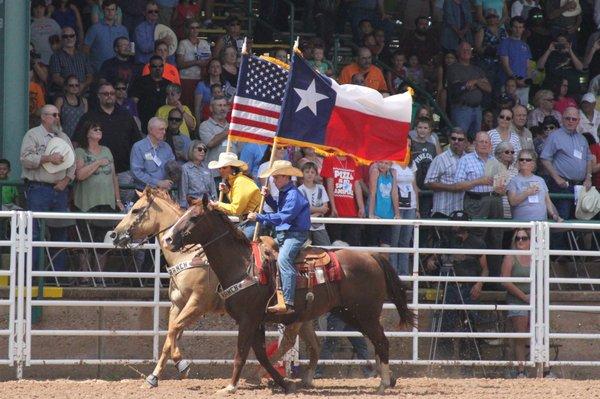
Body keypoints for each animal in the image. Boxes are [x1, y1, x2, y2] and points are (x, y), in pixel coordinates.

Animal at [110, 189, 322, 390]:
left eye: (136, 210)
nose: (115, 234)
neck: (187, 258)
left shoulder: (197, 304)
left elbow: (175, 330)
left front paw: (182, 365)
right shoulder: (177, 305)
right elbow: (169, 338)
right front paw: (153, 378)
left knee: (288, 342)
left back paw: (259, 376)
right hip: (303, 317)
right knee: (312, 344)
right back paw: (304, 378)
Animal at [164, 196, 418, 394]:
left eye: (194, 217)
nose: (168, 239)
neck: (242, 263)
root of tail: (372, 256)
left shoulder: (247, 319)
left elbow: (241, 353)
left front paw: (230, 386)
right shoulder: (256, 320)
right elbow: (261, 354)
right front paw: (285, 384)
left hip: (364, 313)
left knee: (381, 341)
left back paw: (383, 383)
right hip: (348, 313)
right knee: (364, 342)